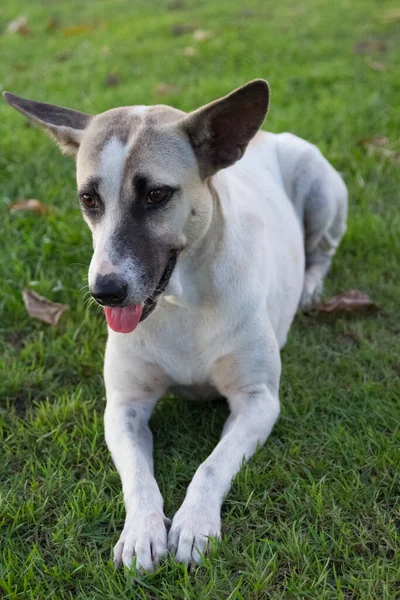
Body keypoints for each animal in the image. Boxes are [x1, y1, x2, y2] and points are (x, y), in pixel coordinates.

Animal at [3, 81, 346, 572]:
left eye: (156, 195)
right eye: (89, 199)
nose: (105, 290)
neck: (183, 301)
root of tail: (266, 136)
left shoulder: (258, 401)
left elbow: (212, 465)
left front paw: (194, 522)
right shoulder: (123, 407)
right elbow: (138, 477)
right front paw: (141, 531)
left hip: (321, 191)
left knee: (323, 251)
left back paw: (311, 287)